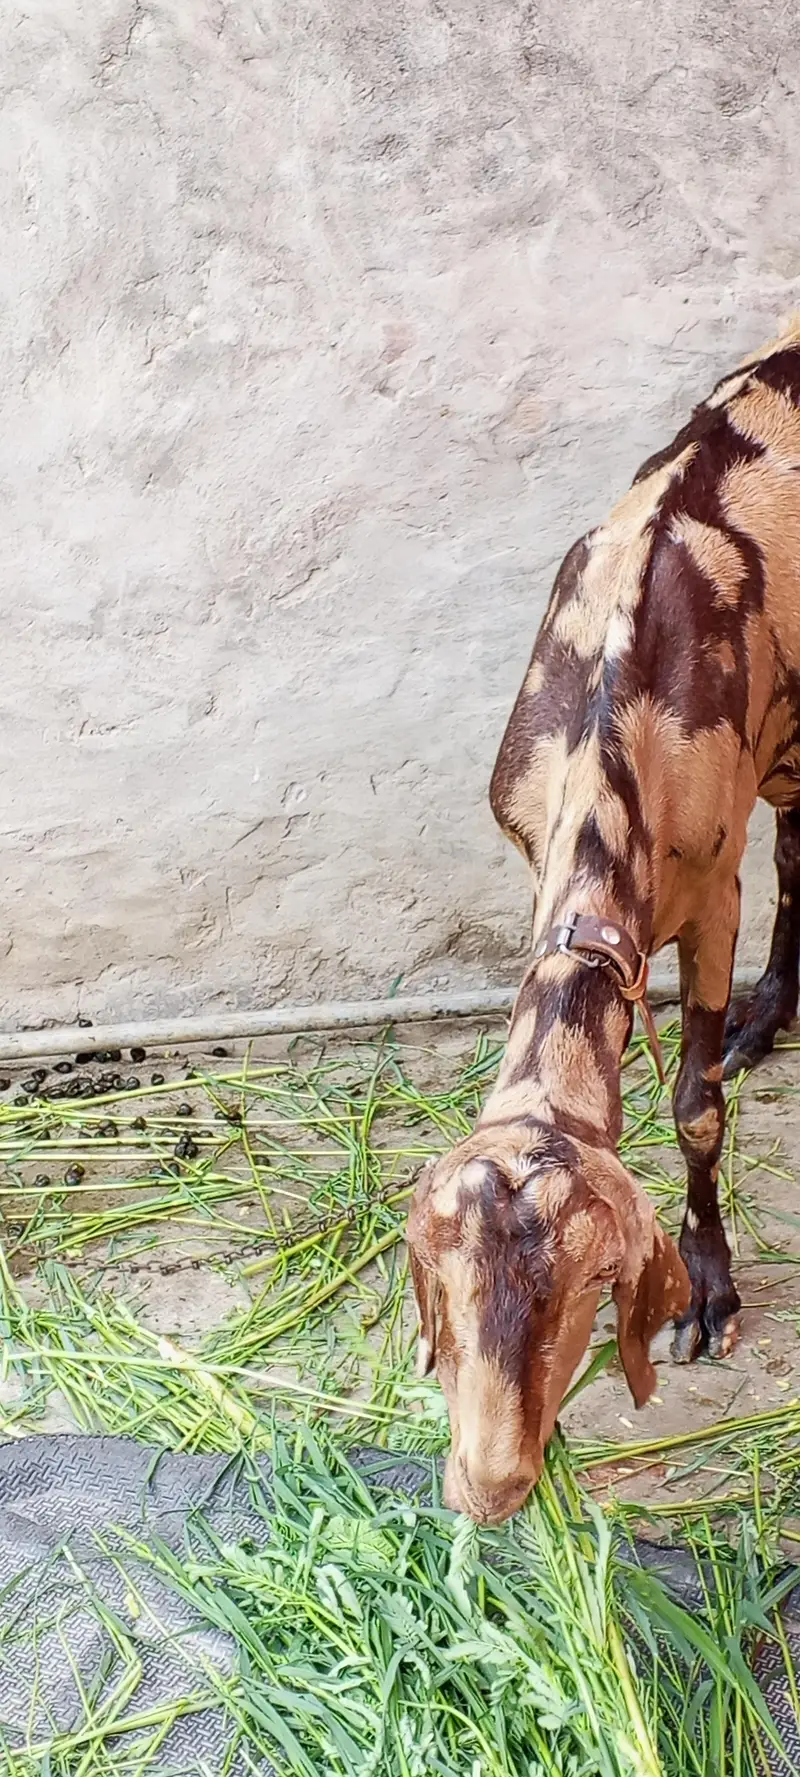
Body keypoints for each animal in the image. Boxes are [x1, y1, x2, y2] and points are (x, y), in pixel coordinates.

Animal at [408, 316, 800, 1526]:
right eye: (442, 1282)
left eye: (591, 1281)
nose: (489, 1485)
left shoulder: (711, 889)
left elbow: (694, 1106)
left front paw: (710, 1293)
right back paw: (771, 1014)